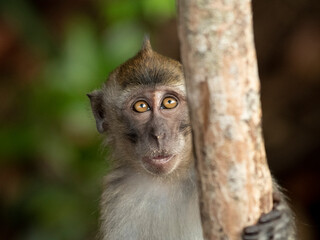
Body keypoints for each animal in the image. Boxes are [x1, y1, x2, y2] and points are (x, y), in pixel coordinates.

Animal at [87, 37, 296, 240]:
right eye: (141, 106)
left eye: (169, 102)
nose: (159, 135)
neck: (167, 180)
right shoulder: (117, 194)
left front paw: (279, 227)